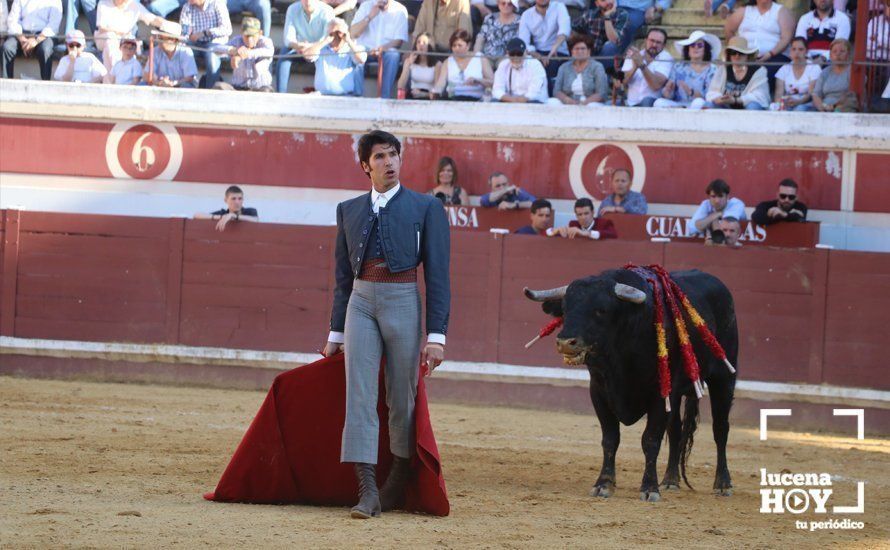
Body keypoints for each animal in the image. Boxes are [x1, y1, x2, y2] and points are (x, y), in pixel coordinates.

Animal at [524, 270, 740, 502]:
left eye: (601, 310)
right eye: (564, 309)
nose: (565, 342)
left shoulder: (660, 394)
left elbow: (650, 439)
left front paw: (649, 488)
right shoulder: (599, 391)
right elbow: (610, 439)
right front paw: (603, 484)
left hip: (724, 378)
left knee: (720, 429)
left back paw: (723, 484)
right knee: (675, 431)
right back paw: (670, 481)